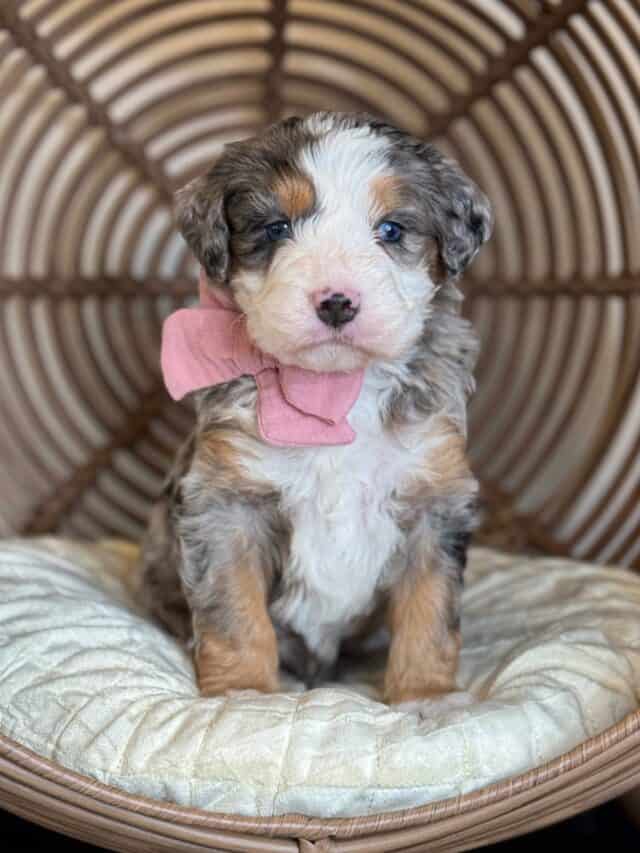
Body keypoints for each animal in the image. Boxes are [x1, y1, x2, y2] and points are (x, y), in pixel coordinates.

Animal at [139, 110, 490, 704]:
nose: (337, 302)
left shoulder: (434, 499)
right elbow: (234, 611)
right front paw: (243, 693)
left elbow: (430, 612)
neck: (332, 390)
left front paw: (426, 697)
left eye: (392, 230)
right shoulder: (226, 503)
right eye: (276, 228)